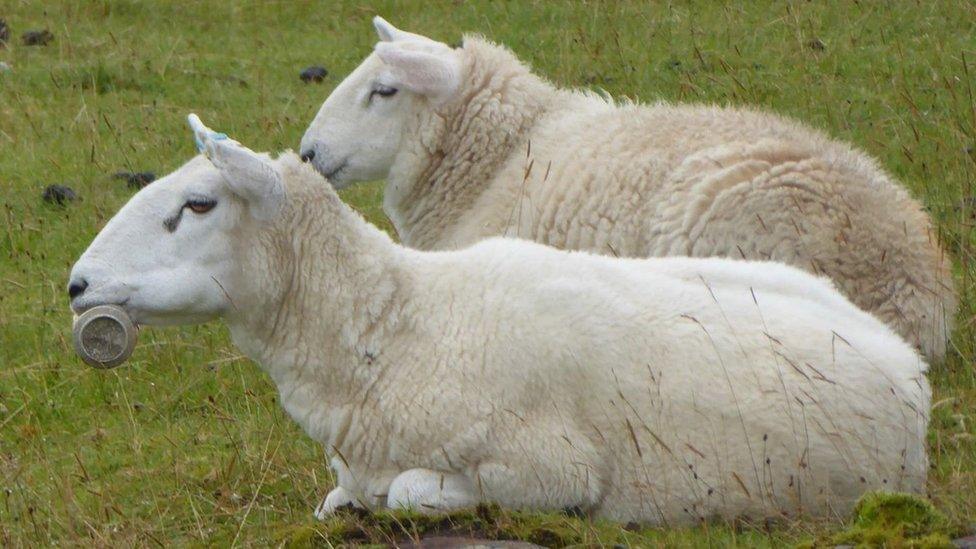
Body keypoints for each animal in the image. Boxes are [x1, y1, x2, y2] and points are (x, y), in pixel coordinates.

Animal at [68, 117, 932, 524]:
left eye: (198, 205)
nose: (77, 284)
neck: (398, 325)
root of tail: (910, 361)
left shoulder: (550, 469)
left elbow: (411, 491)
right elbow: (340, 498)